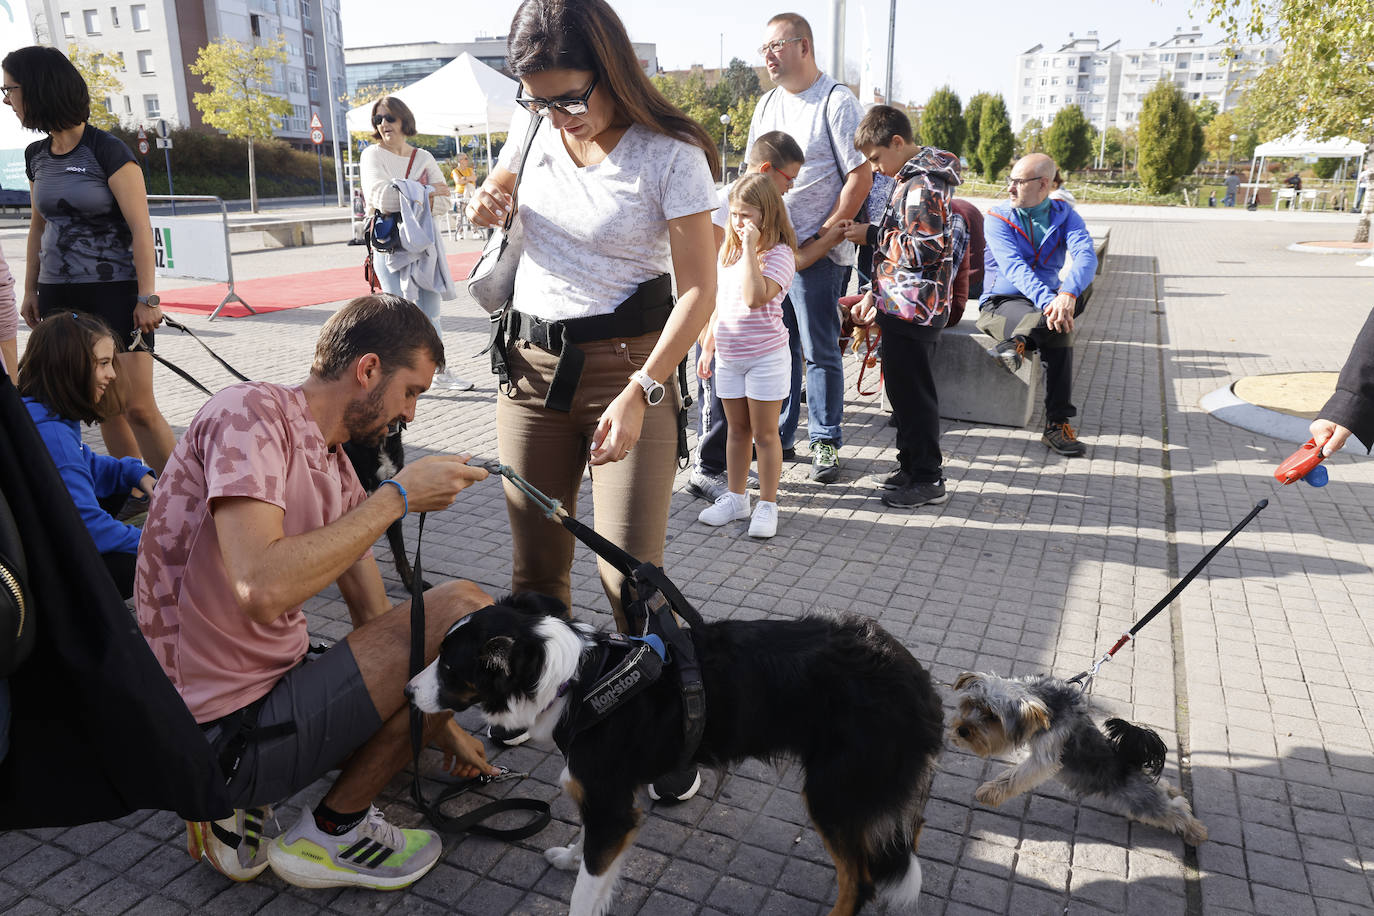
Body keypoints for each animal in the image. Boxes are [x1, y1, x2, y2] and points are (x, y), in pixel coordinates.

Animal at [401, 596, 950, 916]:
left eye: (449, 667)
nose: (405, 693)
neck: (577, 681)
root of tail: (918, 681)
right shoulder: (605, 798)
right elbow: (587, 846)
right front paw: (571, 856)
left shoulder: (611, 805)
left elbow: (587, 889)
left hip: (834, 795)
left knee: (860, 880)